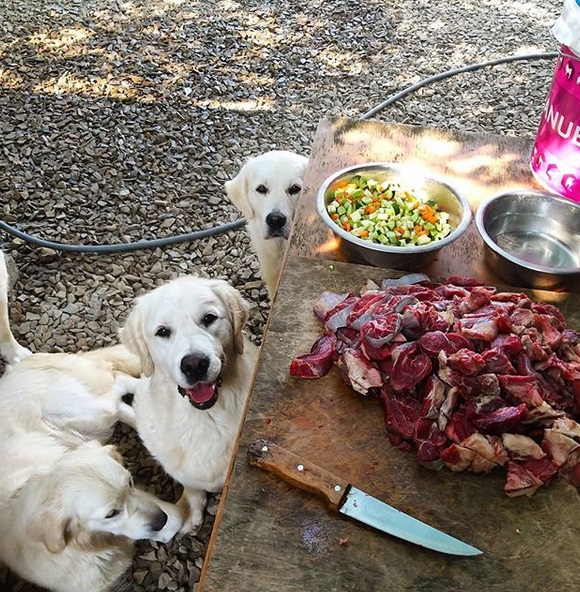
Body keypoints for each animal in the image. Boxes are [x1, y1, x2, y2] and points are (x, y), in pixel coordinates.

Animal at [0, 251, 184, 592]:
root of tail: (23, 363)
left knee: (119, 383)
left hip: (89, 409)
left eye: (130, 481)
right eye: (111, 513)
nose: (159, 520)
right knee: (125, 403)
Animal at [121, 276, 260, 536]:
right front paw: (192, 513)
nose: (194, 364)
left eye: (209, 318)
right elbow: (193, 487)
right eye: (162, 331)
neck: (204, 417)